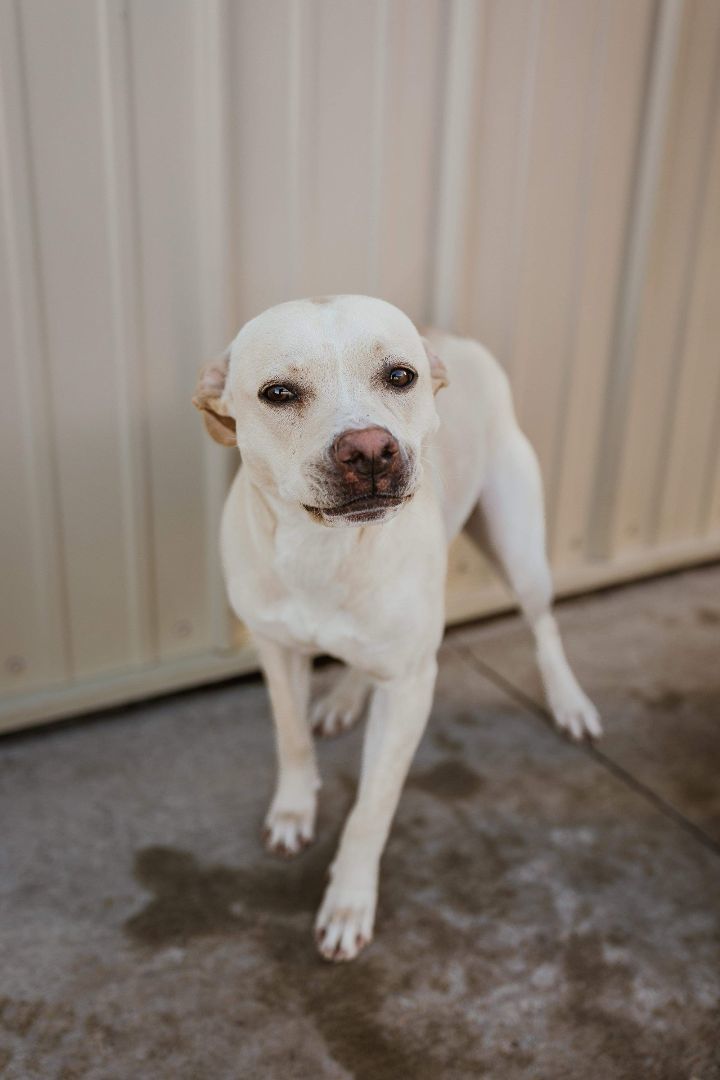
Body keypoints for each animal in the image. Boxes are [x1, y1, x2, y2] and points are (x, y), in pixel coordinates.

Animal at [193, 295, 604, 963]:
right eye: (278, 392)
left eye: (399, 376)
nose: (368, 449)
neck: (323, 551)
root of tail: (448, 334)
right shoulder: (276, 651)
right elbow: (291, 739)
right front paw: (293, 810)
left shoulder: (412, 687)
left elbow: (372, 807)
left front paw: (349, 901)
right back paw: (342, 699)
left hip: (521, 552)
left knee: (544, 628)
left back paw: (569, 702)